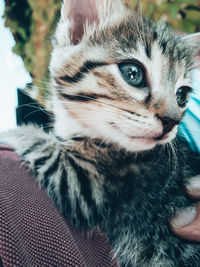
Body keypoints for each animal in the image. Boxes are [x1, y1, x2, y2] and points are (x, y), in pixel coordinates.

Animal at [1, 0, 200, 266]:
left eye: (181, 95)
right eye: (132, 73)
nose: (172, 121)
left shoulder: (83, 185)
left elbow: (46, 148)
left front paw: (13, 132)